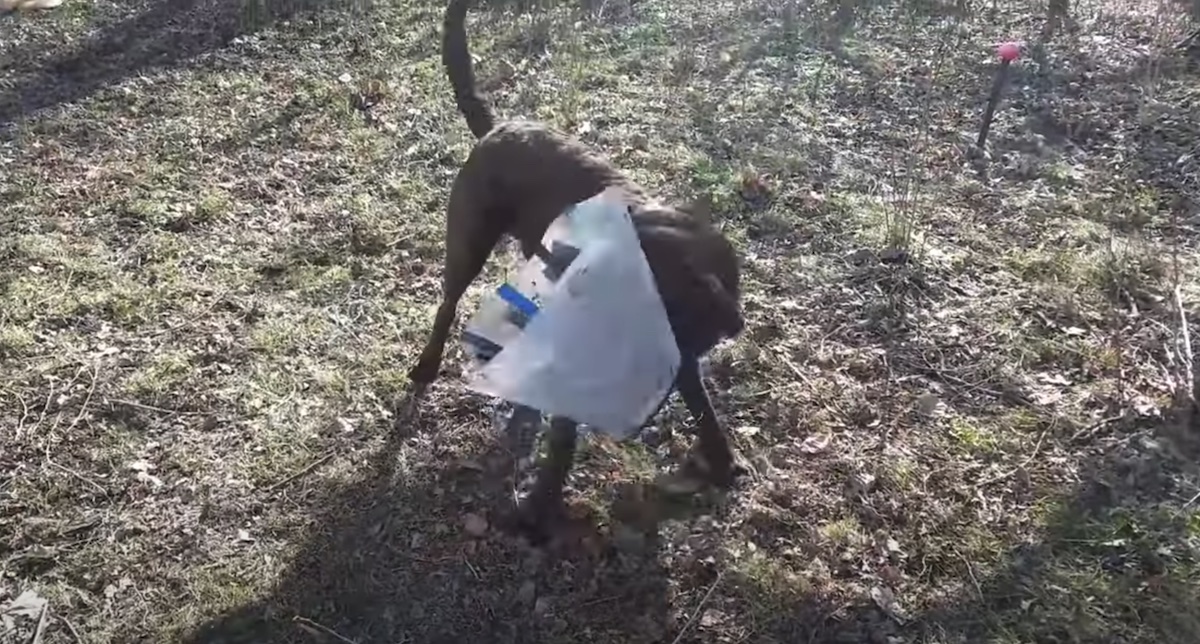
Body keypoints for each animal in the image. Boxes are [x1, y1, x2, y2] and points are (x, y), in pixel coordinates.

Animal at [415, 0, 748, 537]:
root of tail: (500, 127)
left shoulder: (681, 358)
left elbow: (705, 413)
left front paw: (720, 463)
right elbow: (564, 439)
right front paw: (539, 511)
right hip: (467, 244)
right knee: (447, 305)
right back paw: (429, 365)